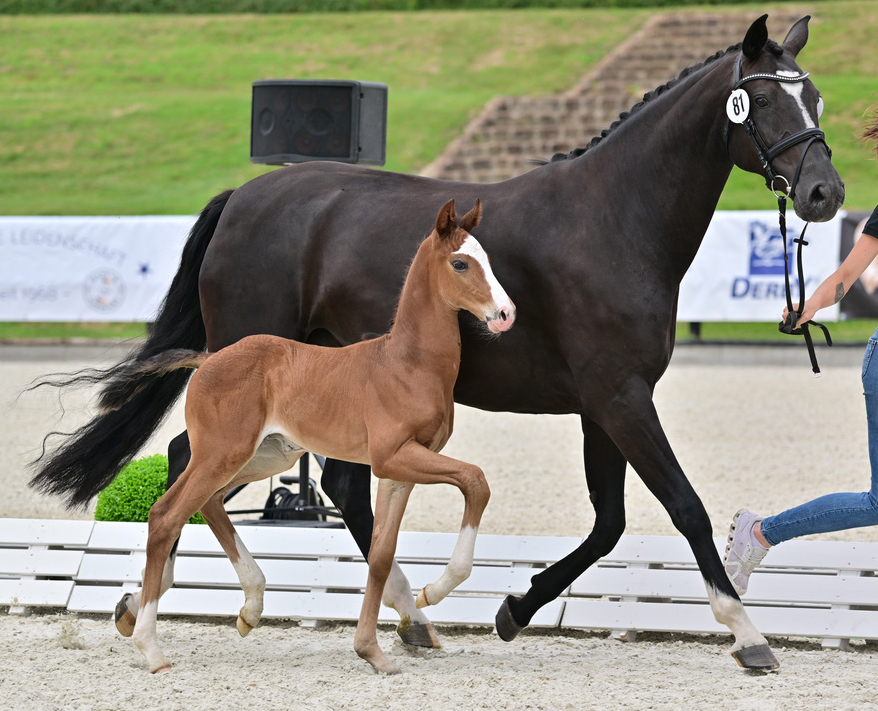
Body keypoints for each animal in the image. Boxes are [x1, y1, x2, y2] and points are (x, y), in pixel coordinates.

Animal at [105, 199, 516, 672]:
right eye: (460, 263)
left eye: (488, 259)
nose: (506, 314)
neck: (407, 363)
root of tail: (207, 359)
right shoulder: (393, 456)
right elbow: (475, 481)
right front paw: (433, 591)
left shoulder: (399, 470)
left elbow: (381, 553)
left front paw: (373, 651)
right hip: (222, 453)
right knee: (166, 515)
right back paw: (152, 647)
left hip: (265, 456)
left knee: (207, 503)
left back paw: (250, 608)